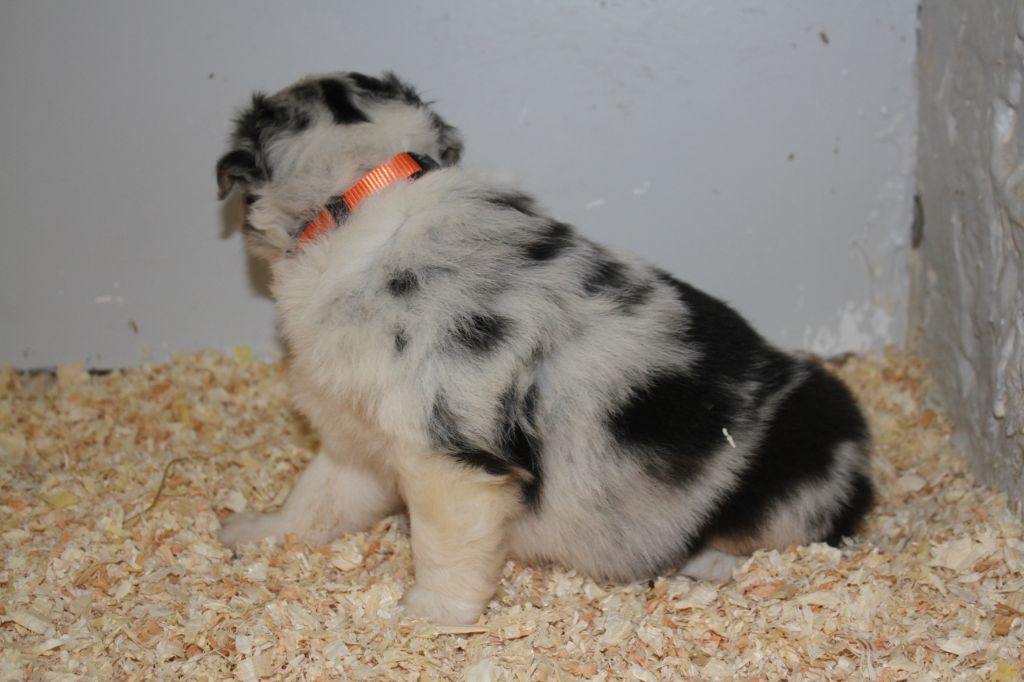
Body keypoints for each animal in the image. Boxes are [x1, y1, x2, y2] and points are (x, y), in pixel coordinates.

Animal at [215, 71, 873, 624]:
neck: (360, 192)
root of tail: (863, 468)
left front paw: (426, 617)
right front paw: (253, 531)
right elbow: (316, 501)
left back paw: (710, 563)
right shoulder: (355, 438)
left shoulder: (450, 462)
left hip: (796, 473)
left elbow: (444, 552)